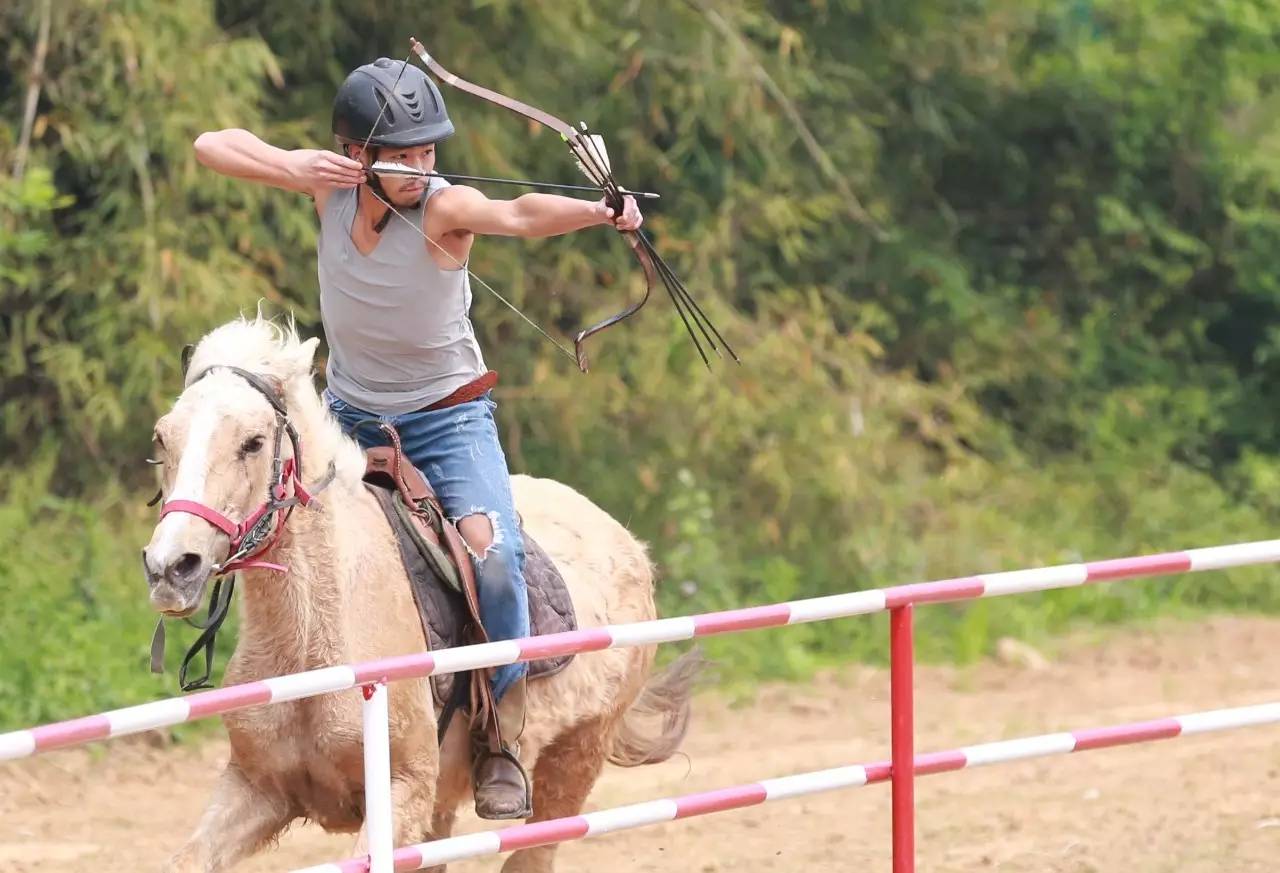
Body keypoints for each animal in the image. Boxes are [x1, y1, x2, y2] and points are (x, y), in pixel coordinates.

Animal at [142, 316, 701, 865]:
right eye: (163, 440)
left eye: (254, 442)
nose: (172, 567)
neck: (317, 634)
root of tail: (627, 543)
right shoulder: (256, 788)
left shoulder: (404, 791)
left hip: (574, 761)